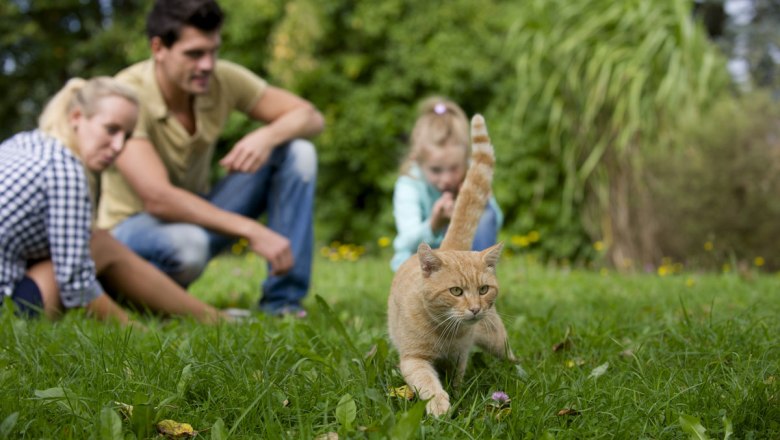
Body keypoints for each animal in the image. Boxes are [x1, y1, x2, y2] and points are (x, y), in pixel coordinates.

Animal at [386, 113, 516, 416]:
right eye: (456, 291)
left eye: (483, 289)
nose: (475, 309)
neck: (447, 333)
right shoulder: (413, 358)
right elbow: (426, 381)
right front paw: (440, 405)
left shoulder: (460, 355)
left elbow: (458, 377)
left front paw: (455, 396)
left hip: (494, 337)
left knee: (509, 355)